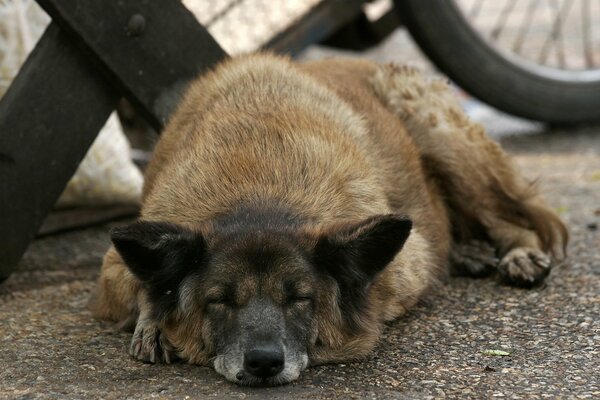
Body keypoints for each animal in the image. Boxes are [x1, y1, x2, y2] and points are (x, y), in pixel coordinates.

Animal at [94, 52, 568, 384]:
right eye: (220, 301)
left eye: (300, 298)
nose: (263, 363)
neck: (259, 192)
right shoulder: (117, 259)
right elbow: (137, 283)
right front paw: (154, 321)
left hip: (444, 137)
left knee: (511, 219)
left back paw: (518, 254)